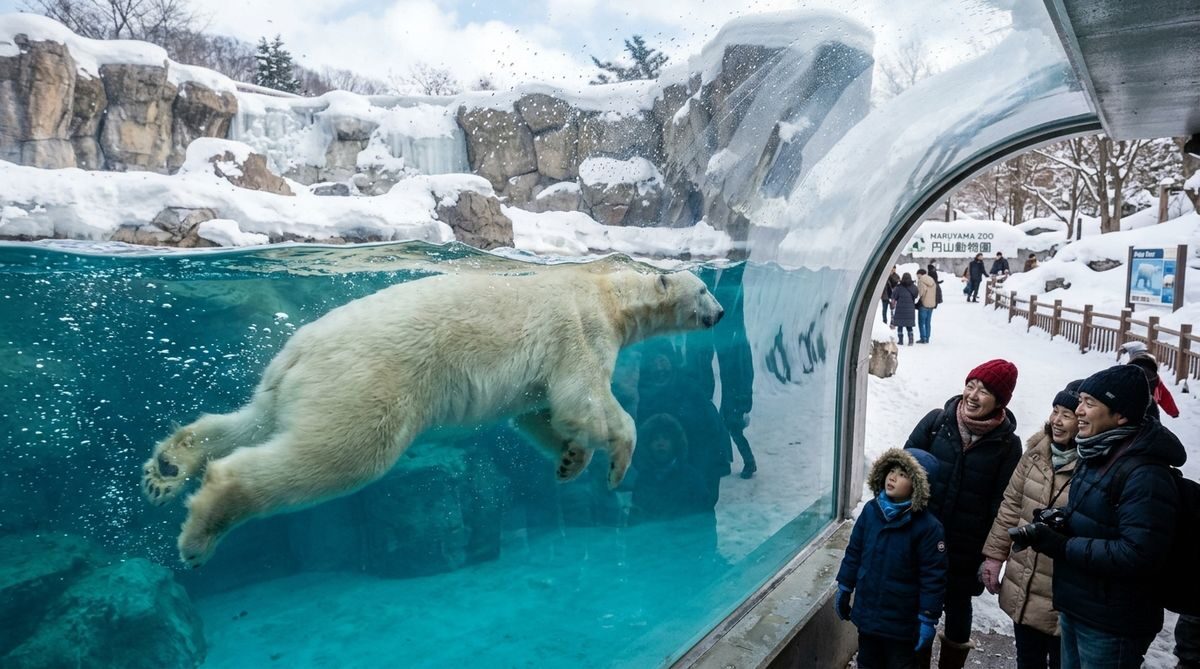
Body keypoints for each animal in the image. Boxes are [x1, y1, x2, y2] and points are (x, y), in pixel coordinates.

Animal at [141, 265, 725, 567]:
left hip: (289, 386)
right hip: (367, 383)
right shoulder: (578, 328)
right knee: (340, 454)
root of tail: (298, 349)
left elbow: (542, 411)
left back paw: (168, 467)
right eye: (704, 287)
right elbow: (585, 398)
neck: (607, 289)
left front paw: (569, 460)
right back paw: (202, 529)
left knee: (251, 421)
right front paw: (615, 461)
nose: (720, 313)